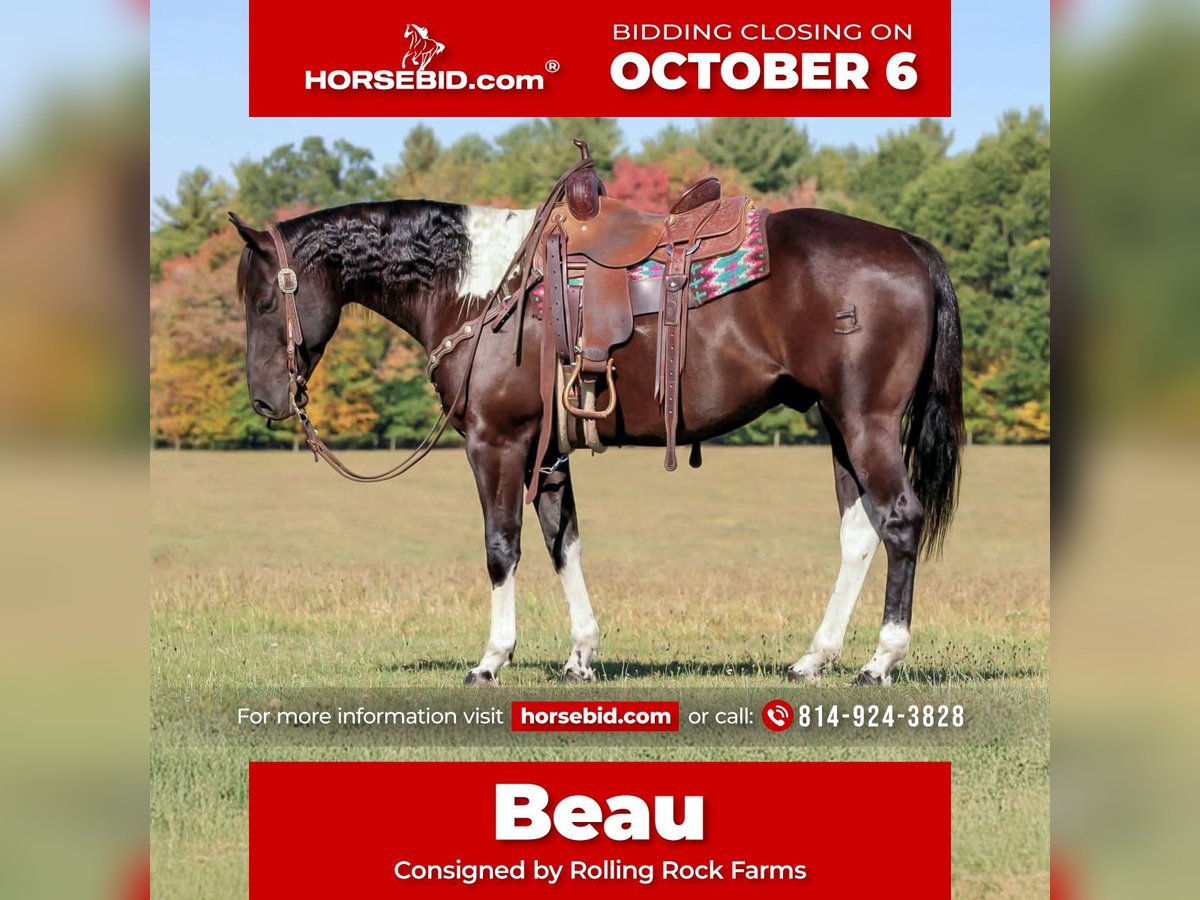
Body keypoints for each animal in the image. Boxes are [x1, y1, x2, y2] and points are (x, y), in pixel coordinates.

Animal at [229, 193, 964, 687]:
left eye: (263, 301)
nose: (266, 401)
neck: (482, 292)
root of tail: (906, 244)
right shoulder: (548, 452)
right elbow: (564, 542)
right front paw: (580, 654)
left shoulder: (495, 443)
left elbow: (502, 547)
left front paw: (491, 660)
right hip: (838, 424)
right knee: (859, 533)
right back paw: (815, 657)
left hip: (866, 421)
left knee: (900, 521)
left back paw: (880, 660)